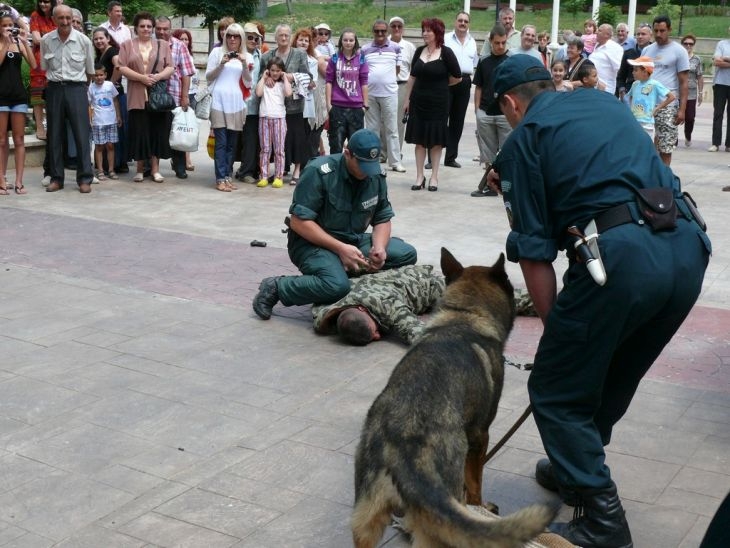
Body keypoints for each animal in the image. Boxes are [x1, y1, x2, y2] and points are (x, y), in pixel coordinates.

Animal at [352, 250, 552, 544]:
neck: (464, 315)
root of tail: (400, 448)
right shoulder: (480, 436)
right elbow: (475, 486)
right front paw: (481, 508)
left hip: (366, 521)